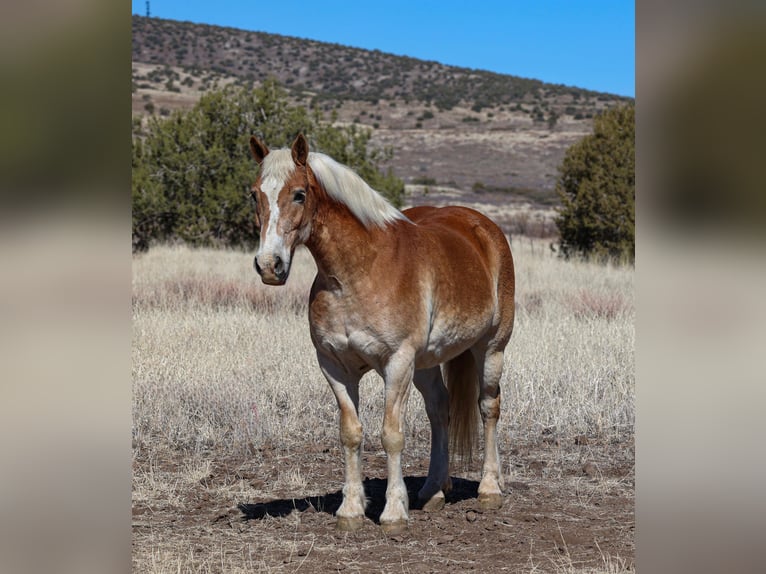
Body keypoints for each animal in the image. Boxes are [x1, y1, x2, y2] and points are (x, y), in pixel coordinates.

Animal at [249, 135, 520, 536]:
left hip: (490, 348)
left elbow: (391, 435)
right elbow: (350, 432)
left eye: (299, 194)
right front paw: (350, 509)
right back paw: (434, 490)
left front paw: (393, 513)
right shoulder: (334, 366)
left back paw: (490, 489)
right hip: (427, 364)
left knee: (488, 406)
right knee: (440, 409)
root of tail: (484, 227)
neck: (358, 271)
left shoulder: (397, 363)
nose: (270, 265)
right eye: (255, 195)